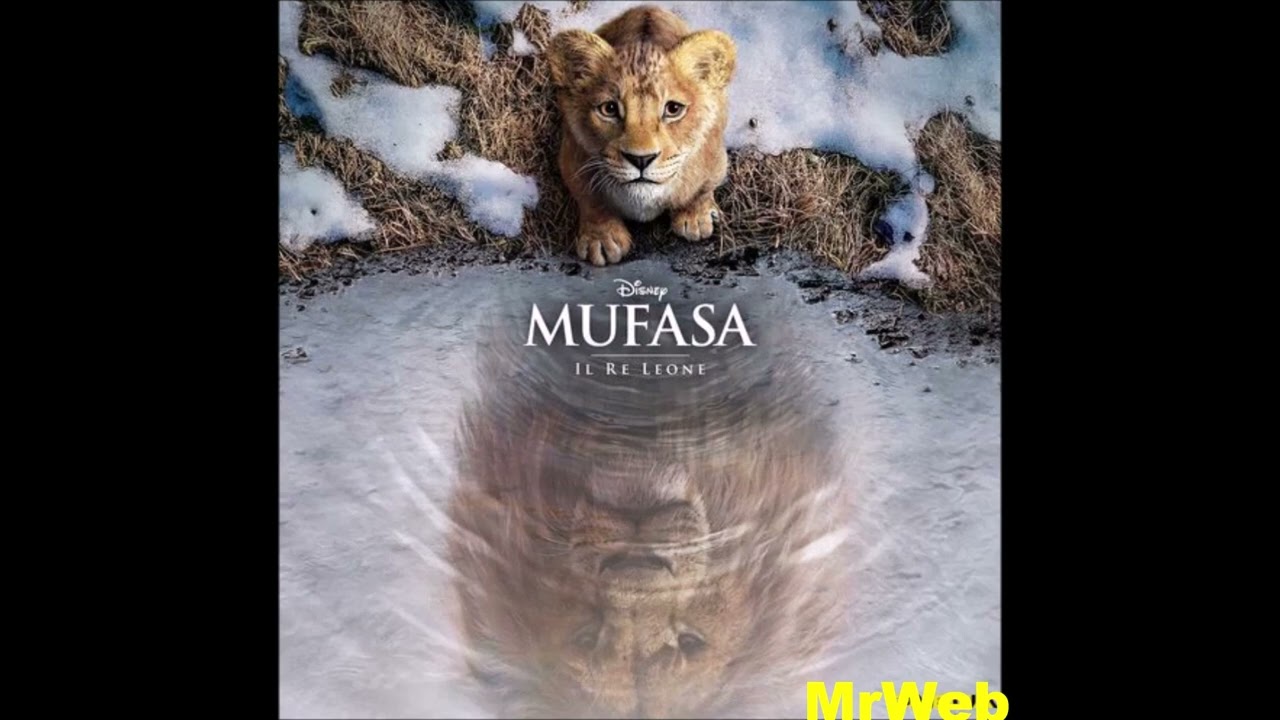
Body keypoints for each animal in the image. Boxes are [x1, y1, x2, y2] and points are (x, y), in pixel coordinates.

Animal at [547, 5, 737, 266]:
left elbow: (702, 189)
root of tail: (648, 7)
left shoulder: (716, 158)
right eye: (609, 109)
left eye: (673, 109)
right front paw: (602, 239)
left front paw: (695, 218)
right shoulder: (572, 158)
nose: (641, 159)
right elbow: (590, 200)